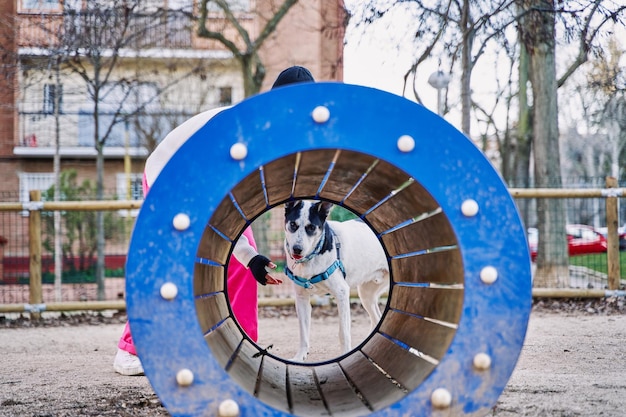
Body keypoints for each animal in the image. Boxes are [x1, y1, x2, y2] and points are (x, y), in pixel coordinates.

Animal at [282, 200, 386, 360]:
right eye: (293, 224)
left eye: (311, 228)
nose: (297, 249)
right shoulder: (301, 299)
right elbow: (303, 333)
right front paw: (300, 357)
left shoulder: (342, 293)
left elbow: (343, 332)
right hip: (366, 295)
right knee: (376, 318)